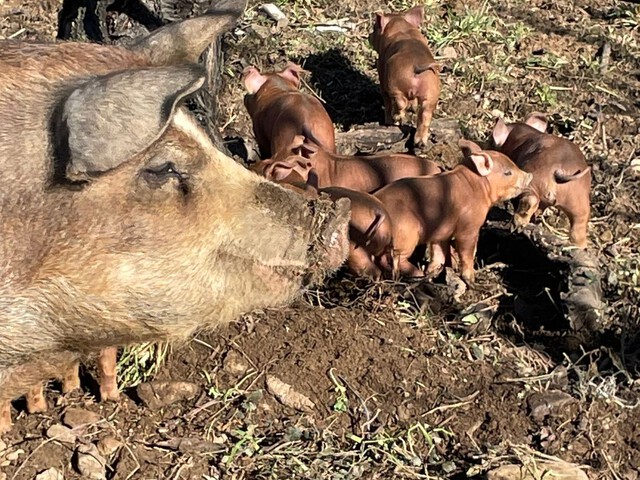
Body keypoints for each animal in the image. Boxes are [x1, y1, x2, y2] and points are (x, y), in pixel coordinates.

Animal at [370, 6, 441, 147]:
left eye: (375, 28)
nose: (368, 36)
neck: (402, 28)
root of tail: (417, 66)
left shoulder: (381, 70)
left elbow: (386, 101)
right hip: (431, 94)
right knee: (425, 116)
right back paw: (420, 143)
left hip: (395, 84)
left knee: (400, 103)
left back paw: (397, 118)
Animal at [374, 140, 532, 284]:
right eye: (507, 172)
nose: (529, 175)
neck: (478, 188)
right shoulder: (468, 227)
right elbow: (467, 251)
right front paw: (471, 280)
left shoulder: (441, 232)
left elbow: (438, 252)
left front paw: (434, 271)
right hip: (406, 236)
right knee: (395, 259)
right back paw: (417, 274)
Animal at [491, 113, 591, 248]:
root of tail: (560, 169)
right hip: (579, 202)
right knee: (579, 226)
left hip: (531, 179)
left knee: (530, 199)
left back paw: (516, 227)